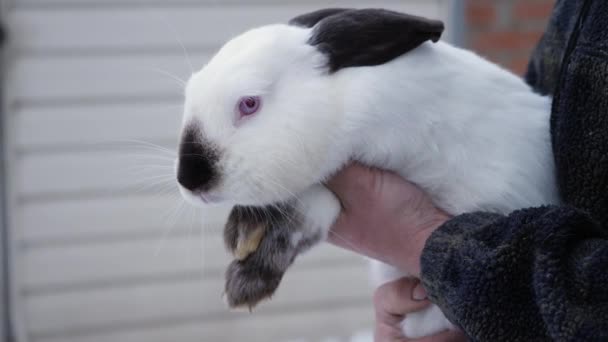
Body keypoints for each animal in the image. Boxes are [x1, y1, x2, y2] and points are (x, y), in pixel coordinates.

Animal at [173, 8, 560, 340]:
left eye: (249, 103)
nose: (190, 180)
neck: (341, 102)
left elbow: (313, 201)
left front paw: (247, 271)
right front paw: (244, 241)